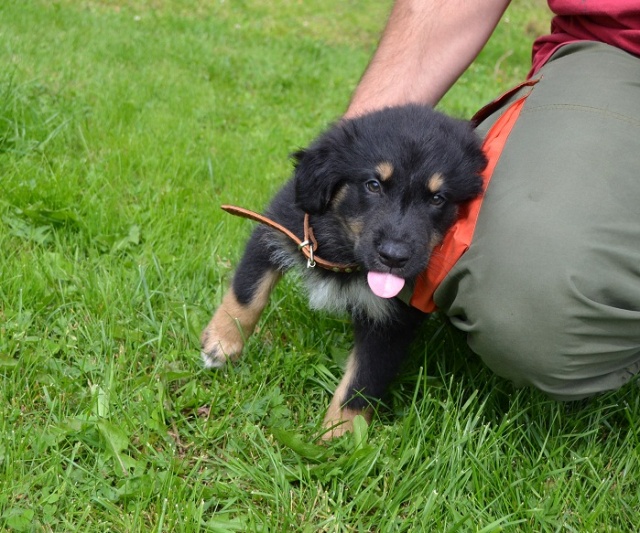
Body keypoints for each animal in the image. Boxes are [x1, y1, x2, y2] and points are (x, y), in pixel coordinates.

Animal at [201, 104, 486, 438]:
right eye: (373, 185)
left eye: (437, 198)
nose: (394, 256)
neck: (348, 255)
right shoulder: (278, 225)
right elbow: (248, 293)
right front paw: (222, 343)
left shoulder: (392, 322)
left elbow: (363, 380)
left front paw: (339, 436)